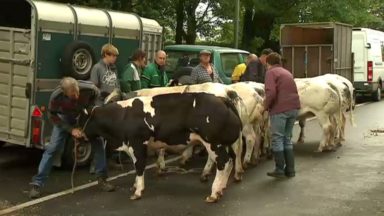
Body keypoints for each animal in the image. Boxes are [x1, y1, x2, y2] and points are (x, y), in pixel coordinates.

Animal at [80, 91, 242, 202]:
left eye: (80, 118)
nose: (78, 135)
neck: (122, 117)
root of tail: (221, 99)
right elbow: (136, 167)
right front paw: (135, 186)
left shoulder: (138, 144)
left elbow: (139, 167)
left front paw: (137, 191)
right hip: (224, 144)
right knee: (230, 161)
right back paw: (221, 189)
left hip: (214, 143)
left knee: (223, 163)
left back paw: (214, 194)